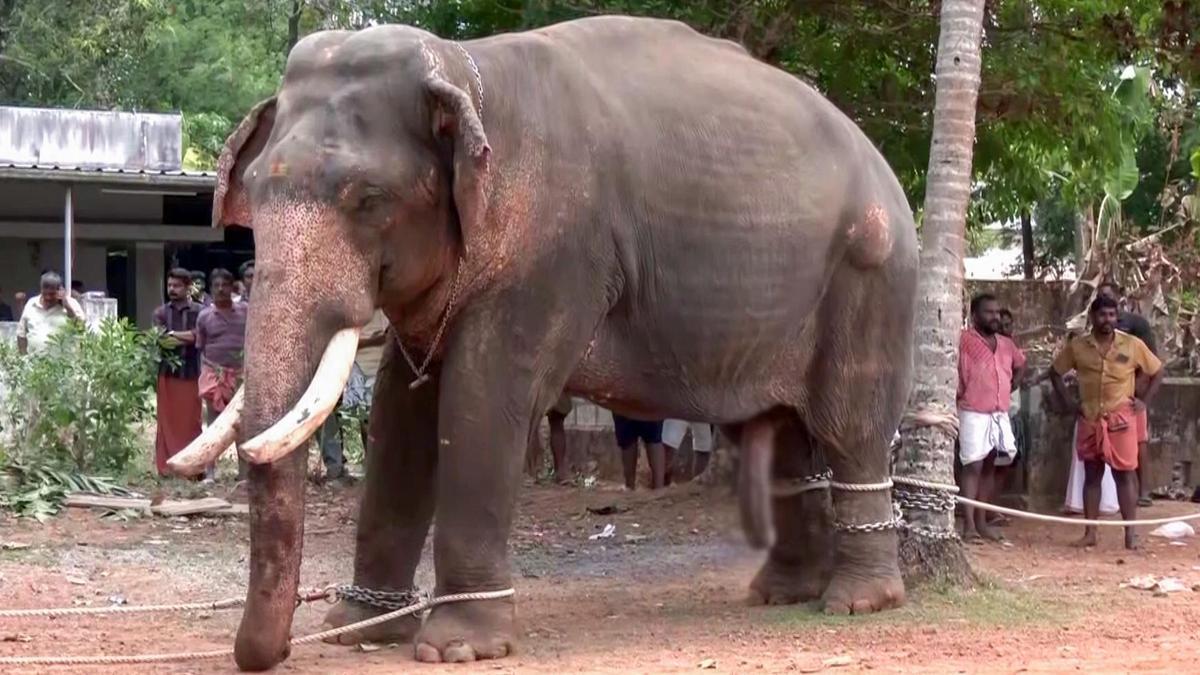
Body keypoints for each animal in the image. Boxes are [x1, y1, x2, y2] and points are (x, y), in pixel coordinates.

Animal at [169, 14, 918, 671]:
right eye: (254, 190)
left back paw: (858, 602)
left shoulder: (557, 254)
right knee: (777, 434)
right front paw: (359, 630)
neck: (465, 70)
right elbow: (400, 413)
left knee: (849, 430)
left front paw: (457, 649)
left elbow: (482, 400)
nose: (274, 655)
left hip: (870, 277)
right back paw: (783, 593)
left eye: (368, 199)